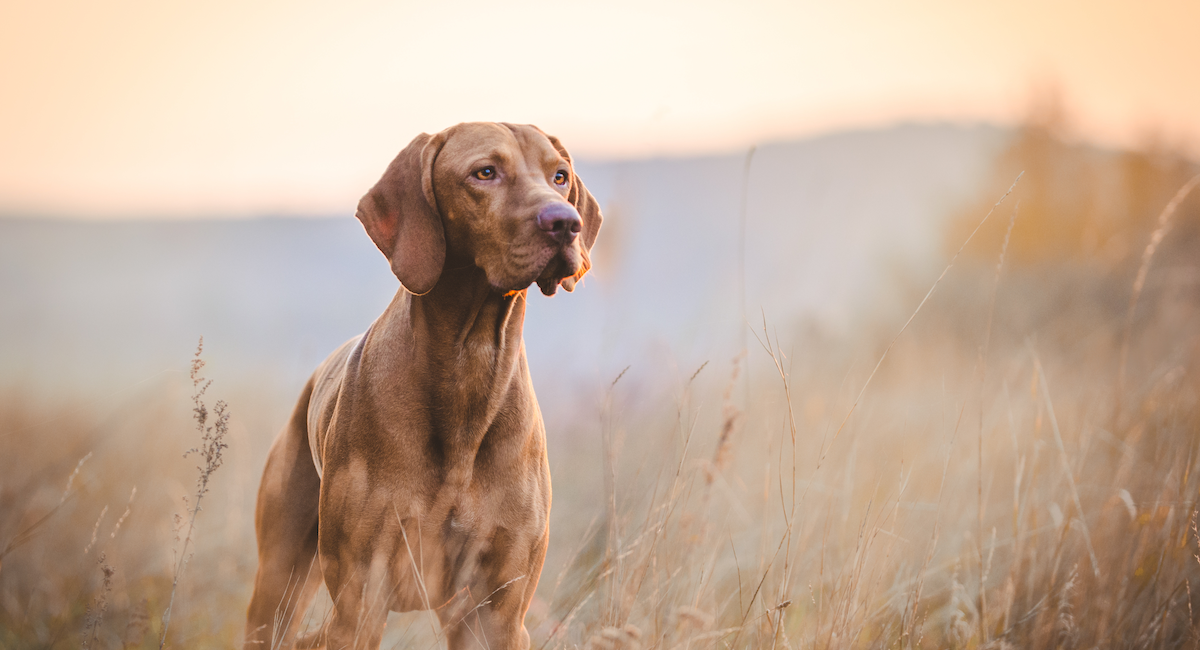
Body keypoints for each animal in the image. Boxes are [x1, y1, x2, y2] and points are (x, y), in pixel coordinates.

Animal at [243, 123, 600, 650]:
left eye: (560, 176)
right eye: (485, 172)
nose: (566, 223)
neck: (471, 366)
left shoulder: (498, 611)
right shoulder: (361, 599)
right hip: (278, 583)